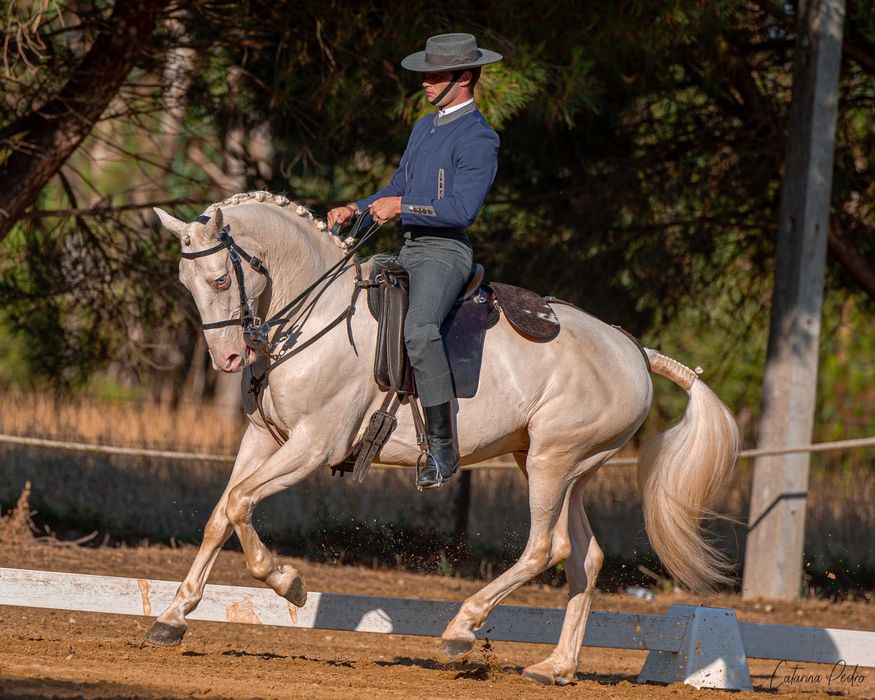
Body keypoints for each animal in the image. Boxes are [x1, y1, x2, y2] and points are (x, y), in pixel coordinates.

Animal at [150, 191, 740, 685]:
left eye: (220, 281)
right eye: (185, 283)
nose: (229, 359)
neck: (314, 316)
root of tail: (633, 350)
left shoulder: (312, 444)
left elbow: (242, 503)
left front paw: (287, 582)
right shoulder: (264, 438)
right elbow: (224, 511)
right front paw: (174, 617)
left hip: (553, 461)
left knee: (546, 548)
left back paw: (462, 629)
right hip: (559, 466)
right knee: (585, 558)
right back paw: (555, 668)